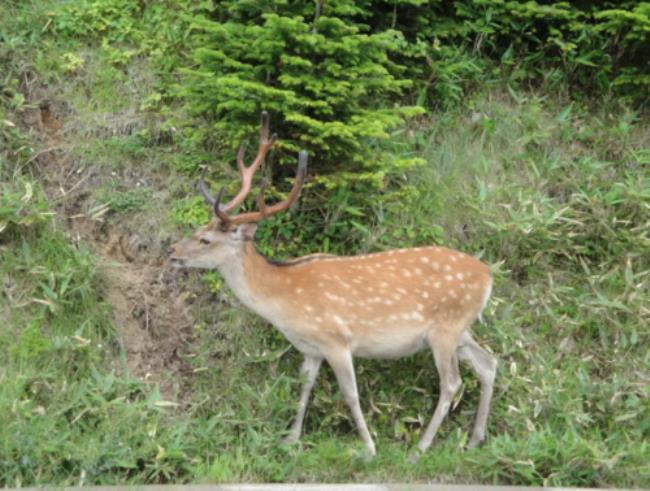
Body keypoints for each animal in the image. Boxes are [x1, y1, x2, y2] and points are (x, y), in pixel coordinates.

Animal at [167, 112, 496, 462]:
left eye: (205, 240)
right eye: (197, 229)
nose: (171, 251)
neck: (283, 299)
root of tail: (488, 275)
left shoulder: (335, 338)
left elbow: (350, 394)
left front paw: (369, 449)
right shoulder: (310, 348)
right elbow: (305, 386)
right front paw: (290, 440)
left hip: (446, 328)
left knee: (452, 382)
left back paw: (419, 449)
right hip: (460, 328)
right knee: (488, 363)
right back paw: (475, 440)